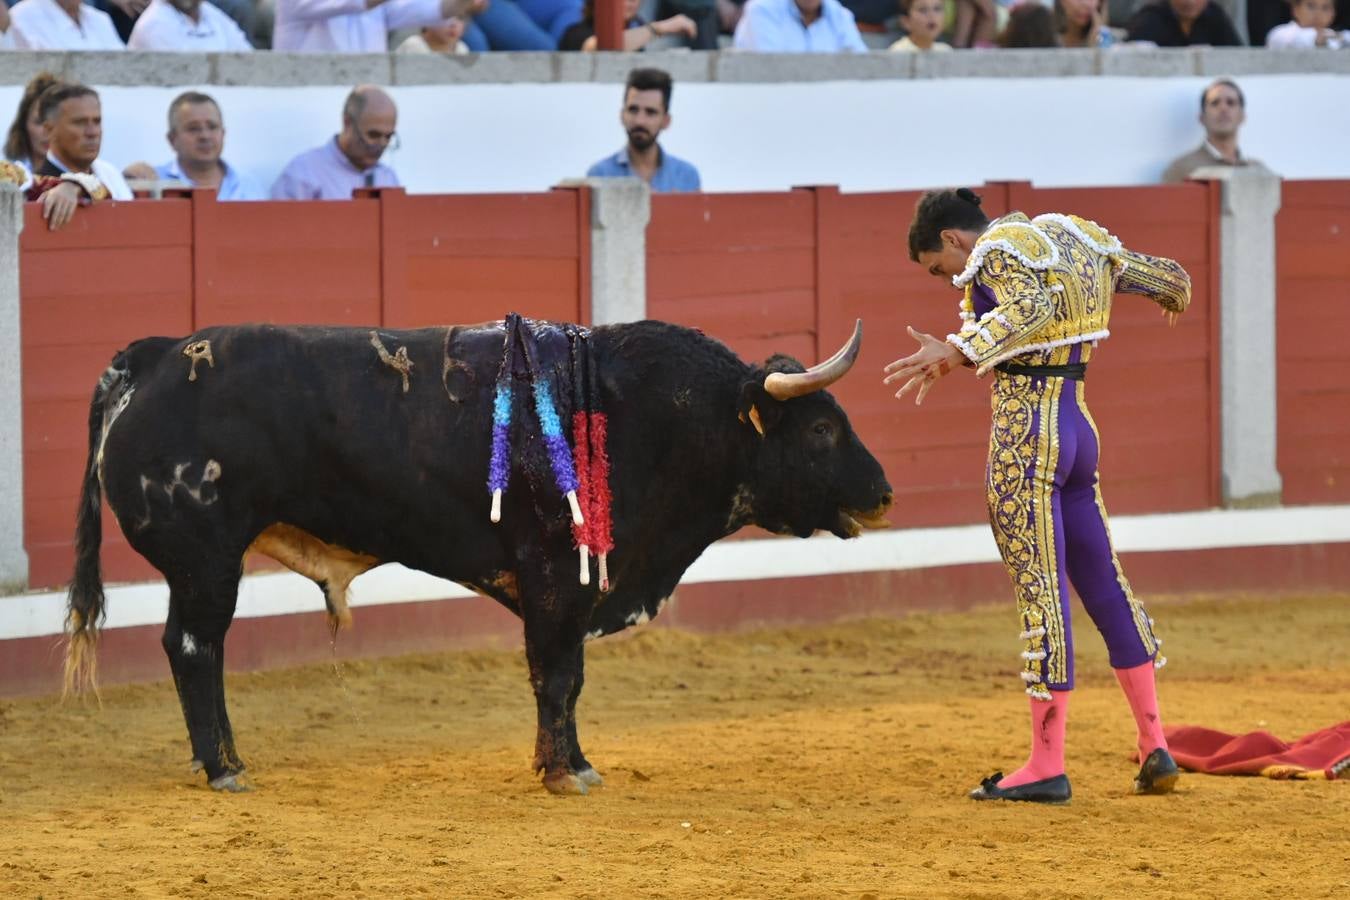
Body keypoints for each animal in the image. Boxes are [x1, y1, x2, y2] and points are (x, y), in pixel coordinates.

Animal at [71, 317, 896, 793]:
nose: (885, 493)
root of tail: (152, 359)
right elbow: (559, 676)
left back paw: (226, 760)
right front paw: (566, 772)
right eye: (821, 429)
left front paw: (566, 762)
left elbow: (564, 680)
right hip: (207, 557)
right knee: (194, 647)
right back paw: (222, 769)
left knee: (192, 647)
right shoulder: (558, 577)